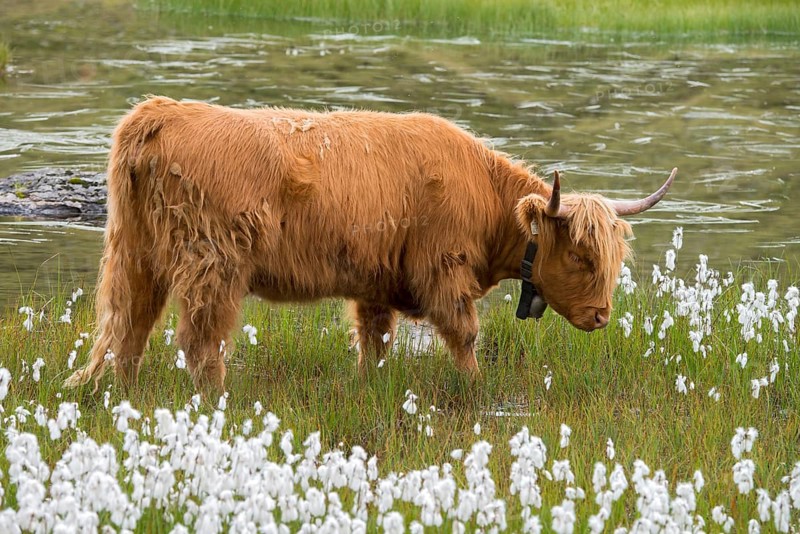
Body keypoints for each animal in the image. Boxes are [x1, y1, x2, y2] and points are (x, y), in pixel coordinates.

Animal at [64, 96, 676, 393]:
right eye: (579, 255)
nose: (600, 316)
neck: (483, 195)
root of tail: (160, 111)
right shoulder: (444, 270)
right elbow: (464, 335)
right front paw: (477, 387)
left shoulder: (376, 284)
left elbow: (375, 342)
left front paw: (369, 387)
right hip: (212, 265)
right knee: (198, 340)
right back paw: (218, 400)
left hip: (136, 252)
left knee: (127, 325)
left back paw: (119, 391)